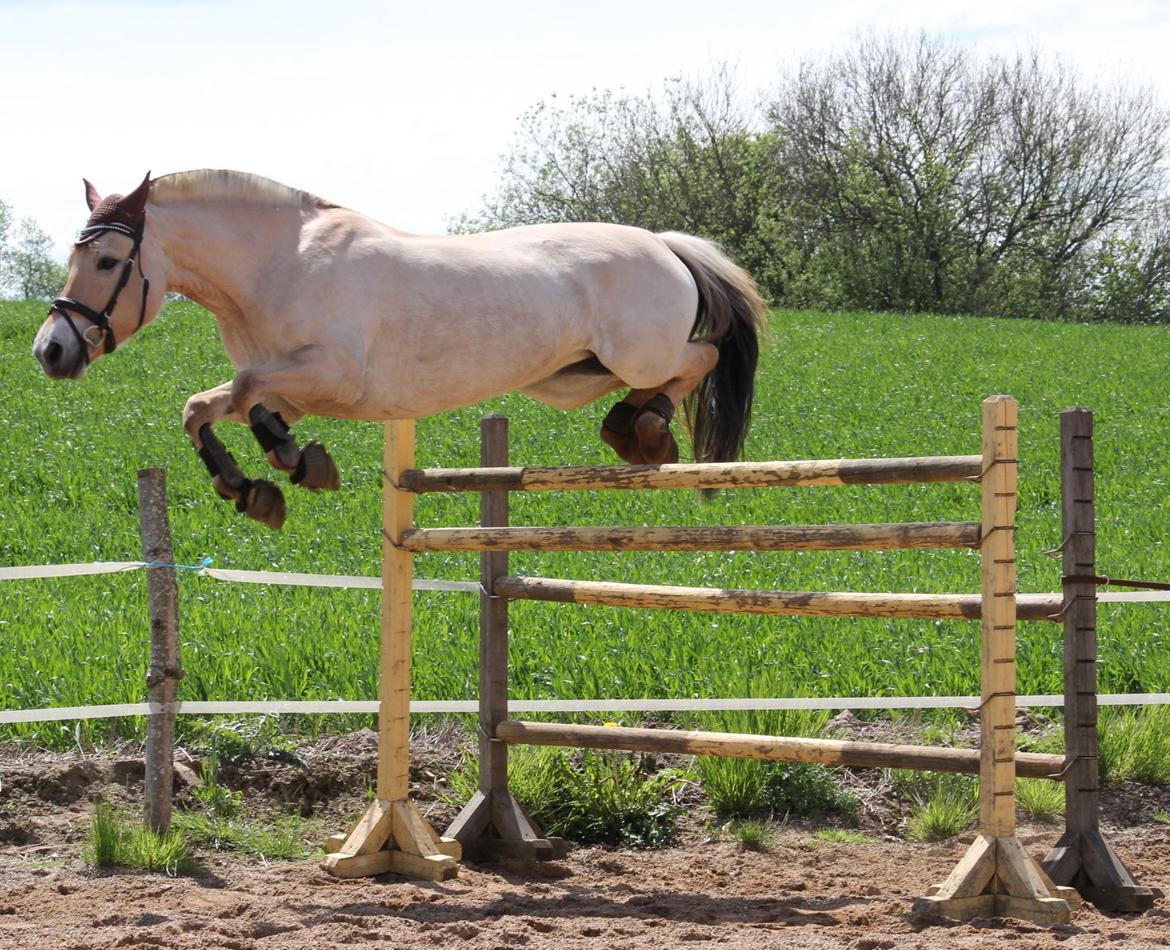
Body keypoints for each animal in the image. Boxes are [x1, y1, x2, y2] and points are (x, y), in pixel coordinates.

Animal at [29, 170, 767, 526]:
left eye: (108, 261)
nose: (50, 352)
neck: (275, 265)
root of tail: (665, 242)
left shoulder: (330, 373)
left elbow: (237, 395)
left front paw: (289, 466)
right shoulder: (293, 386)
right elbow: (210, 408)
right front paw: (258, 485)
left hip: (636, 354)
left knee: (697, 361)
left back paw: (647, 431)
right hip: (570, 378)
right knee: (648, 383)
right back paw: (630, 430)